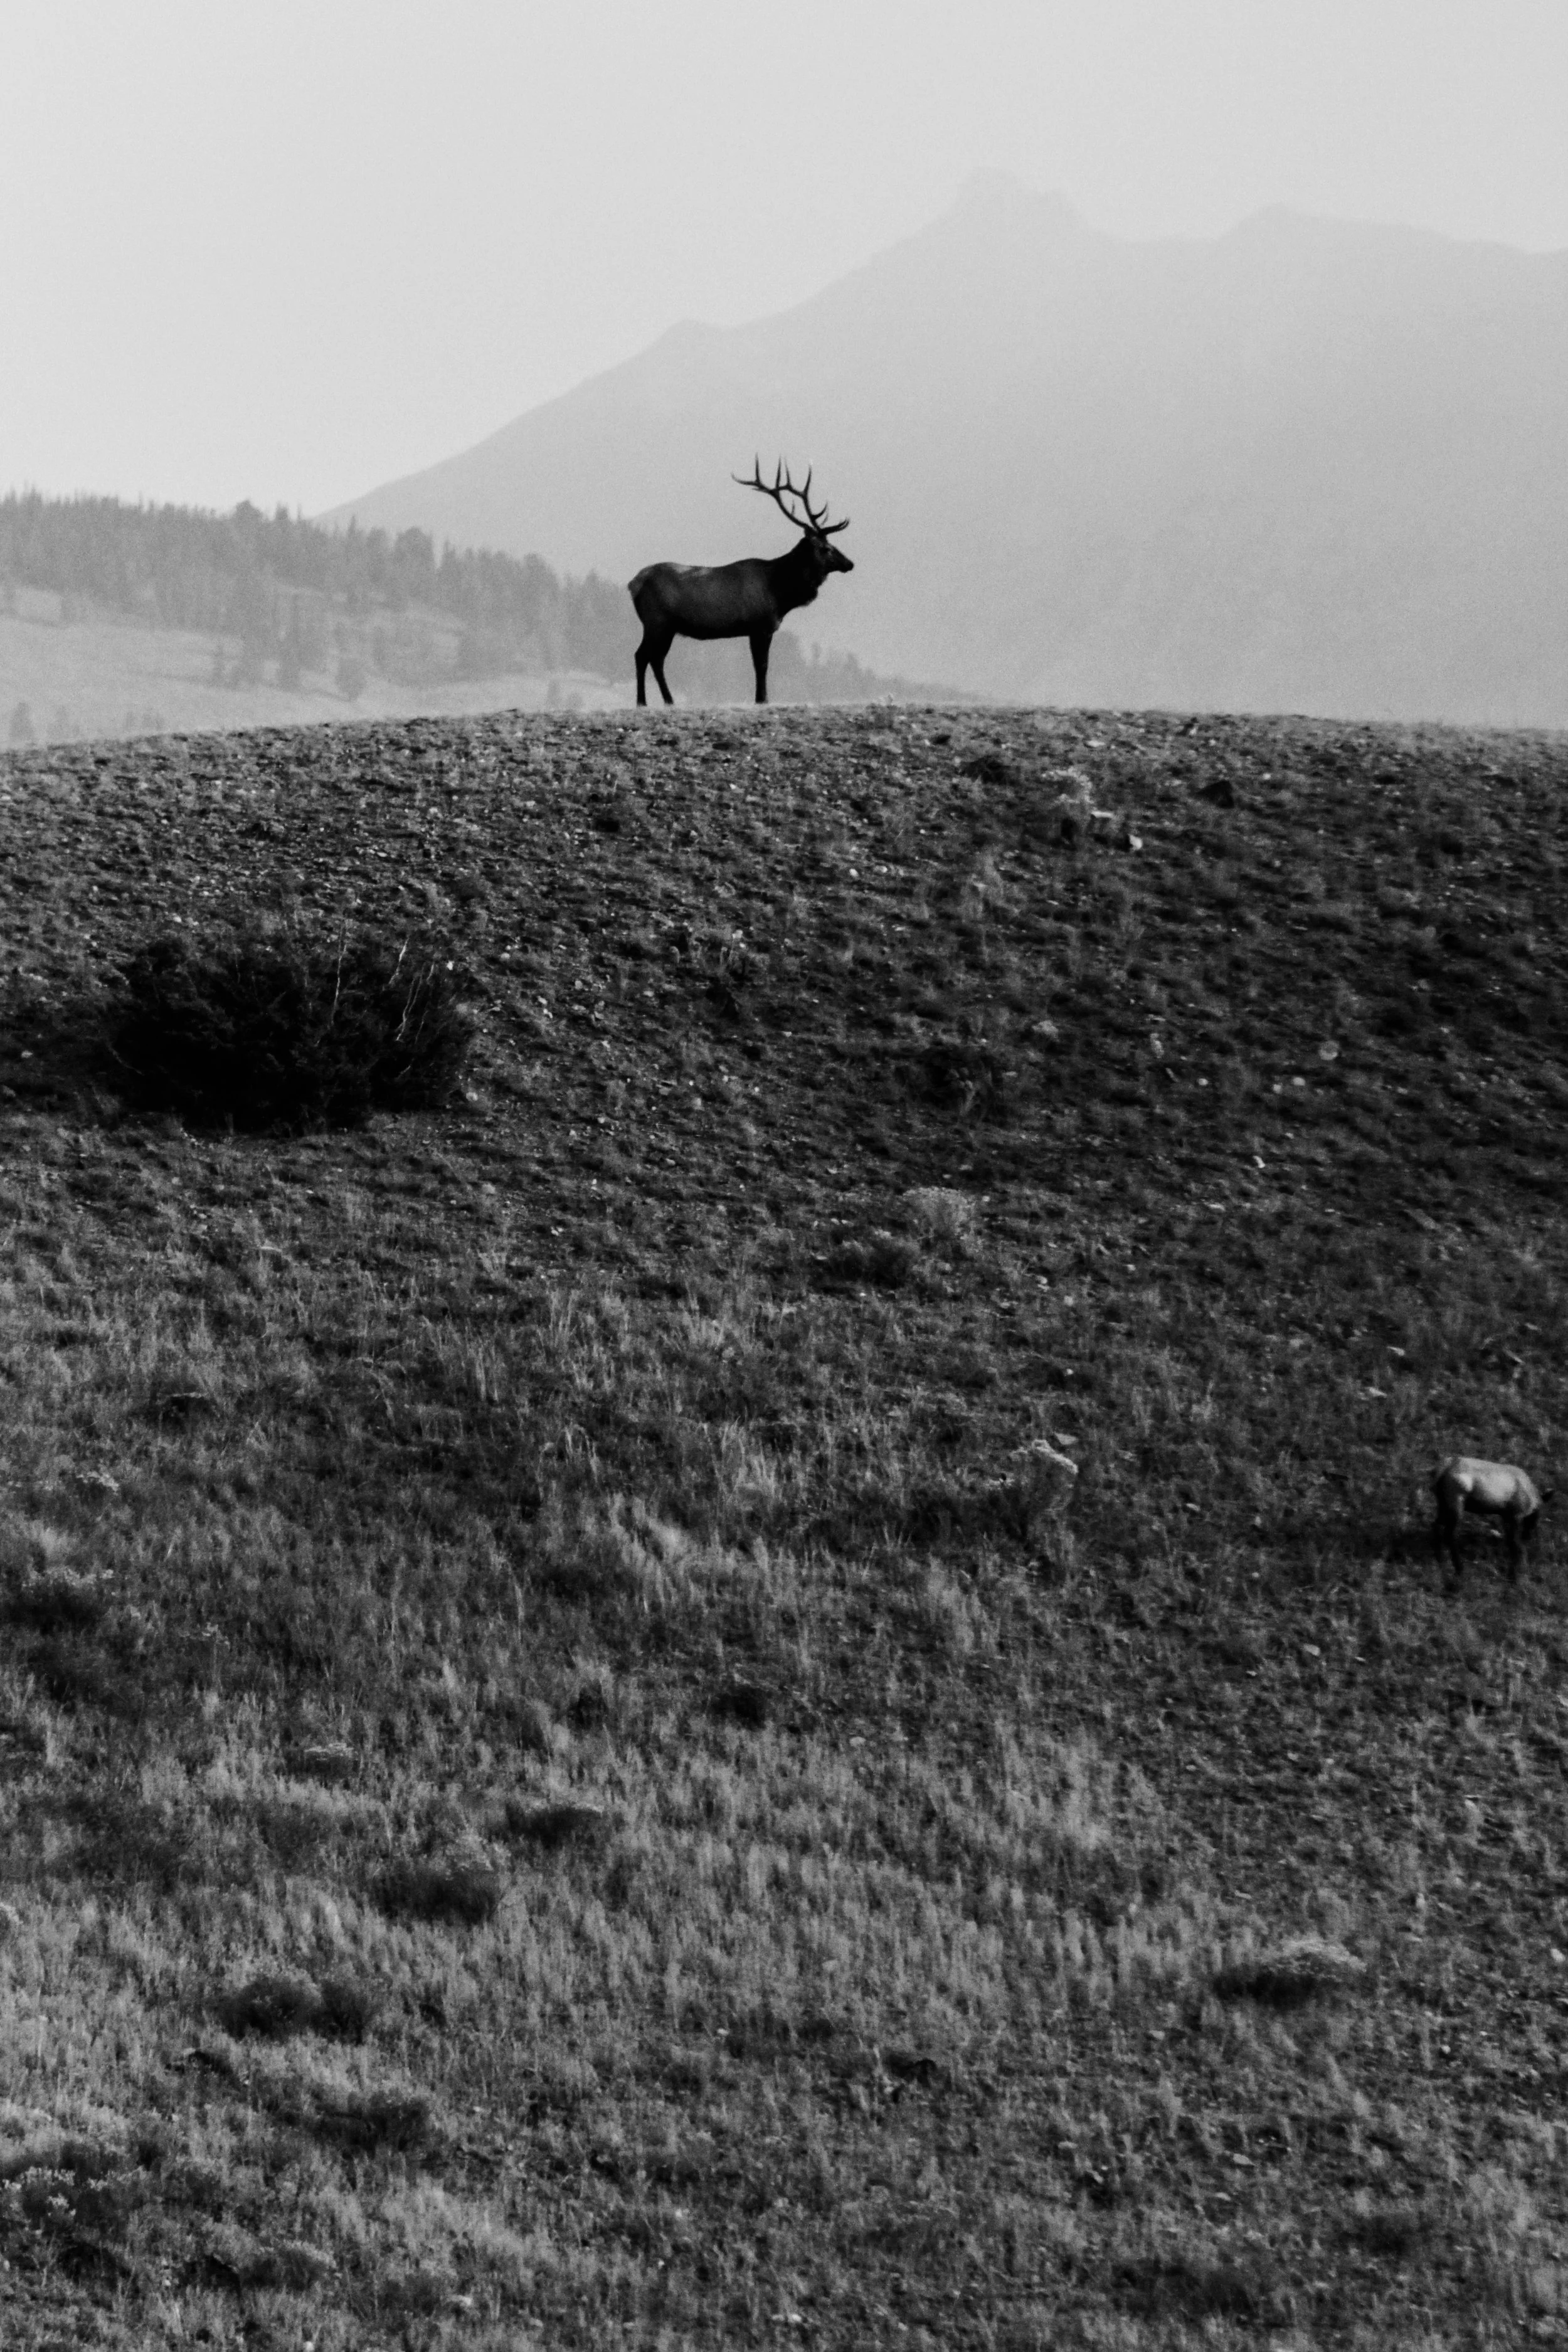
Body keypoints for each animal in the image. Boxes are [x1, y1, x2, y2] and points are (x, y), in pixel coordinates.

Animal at [628, 459, 853, 707]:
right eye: (826, 548)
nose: (850, 563)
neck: (780, 593)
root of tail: (634, 583)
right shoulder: (760, 625)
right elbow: (762, 665)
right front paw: (762, 700)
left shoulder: (759, 629)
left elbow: (760, 664)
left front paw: (761, 698)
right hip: (656, 621)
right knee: (643, 655)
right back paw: (643, 702)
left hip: (667, 627)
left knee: (655, 659)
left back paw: (668, 701)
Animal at [1432, 1456, 1553, 1587]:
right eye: (1536, 1516)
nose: (1528, 1536)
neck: (1533, 1498)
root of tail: (1442, 1470)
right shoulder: (1515, 1516)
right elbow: (1517, 1546)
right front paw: (1517, 1575)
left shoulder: (1507, 1517)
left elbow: (1511, 1543)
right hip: (1456, 1502)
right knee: (1450, 1534)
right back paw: (1459, 1568)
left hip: (1443, 1504)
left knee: (1437, 1526)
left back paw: (1440, 1559)